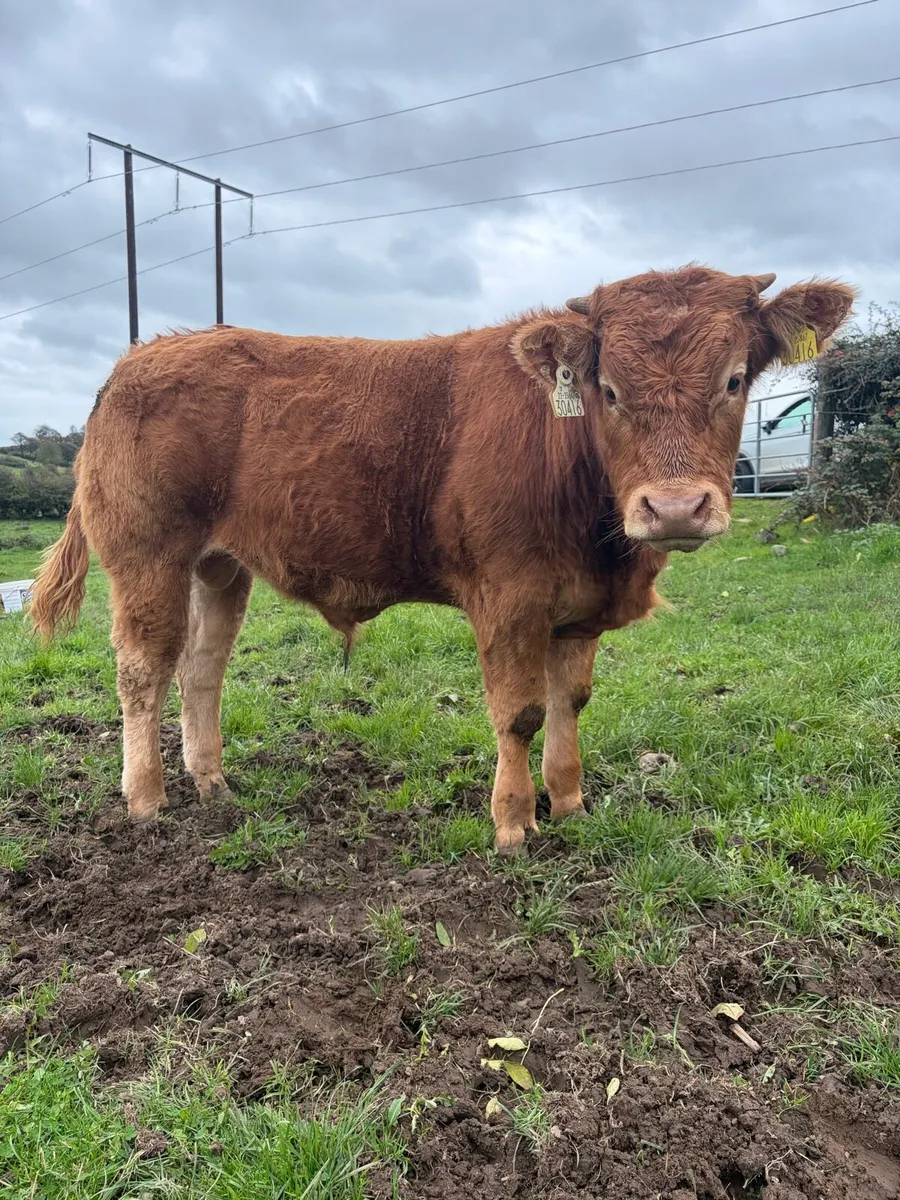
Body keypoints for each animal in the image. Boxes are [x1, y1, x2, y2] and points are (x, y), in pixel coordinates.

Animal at [31, 265, 854, 854]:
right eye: (610, 389)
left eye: (734, 379)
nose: (676, 507)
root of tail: (142, 356)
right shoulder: (509, 595)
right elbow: (519, 712)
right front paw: (514, 824)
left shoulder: (577, 610)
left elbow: (570, 703)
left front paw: (571, 804)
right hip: (148, 555)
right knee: (143, 668)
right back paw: (147, 801)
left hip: (219, 565)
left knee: (201, 668)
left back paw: (214, 785)